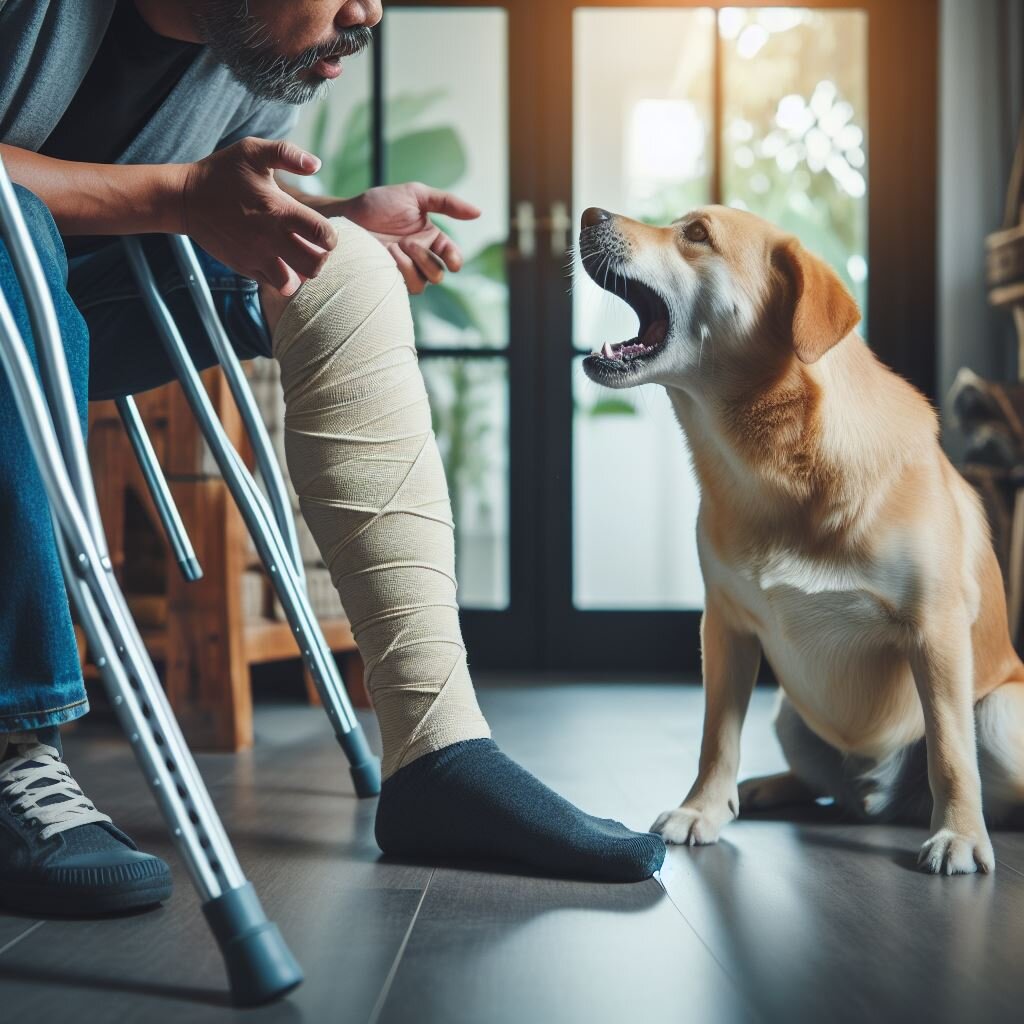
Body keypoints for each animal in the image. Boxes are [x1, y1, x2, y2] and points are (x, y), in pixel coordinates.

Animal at [577, 205, 1024, 872]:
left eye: (697, 235)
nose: (588, 215)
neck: (778, 467)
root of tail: (885, 802)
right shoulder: (725, 626)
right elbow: (716, 735)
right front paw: (703, 808)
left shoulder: (937, 630)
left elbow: (950, 750)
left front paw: (961, 835)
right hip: (790, 712)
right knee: (824, 789)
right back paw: (762, 788)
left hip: (998, 717)